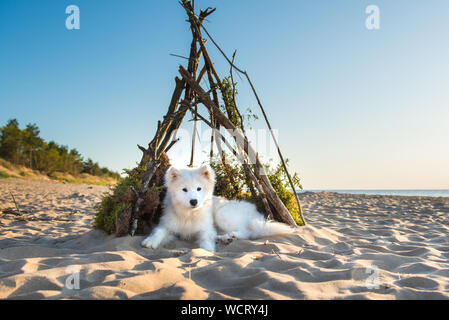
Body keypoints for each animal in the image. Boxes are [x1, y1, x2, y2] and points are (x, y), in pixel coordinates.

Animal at [140, 166, 294, 251]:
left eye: (199, 189)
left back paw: (227, 237)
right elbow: (159, 231)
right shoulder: (169, 226)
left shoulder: (207, 228)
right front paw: (150, 241)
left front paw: (207, 249)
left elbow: (206, 237)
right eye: (184, 190)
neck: (189, 215)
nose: (194, 201)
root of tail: (255, 214)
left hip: (222, 214)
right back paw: (225, 238)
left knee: (248, 232)